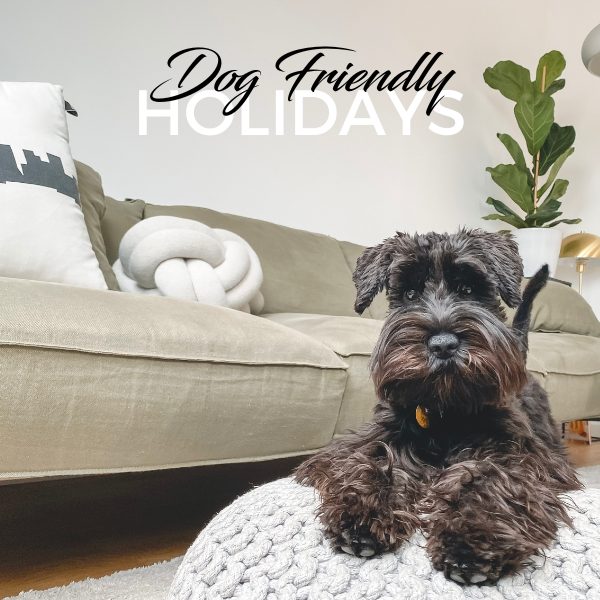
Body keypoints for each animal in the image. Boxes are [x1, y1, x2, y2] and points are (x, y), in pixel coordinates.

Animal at [295, 229, 581, 585]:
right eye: (409, 293)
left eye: (468, 290)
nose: (443, 345)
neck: (447, 408)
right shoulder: (371, 441)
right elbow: (376, 462)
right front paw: (361, 514)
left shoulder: (519, 455)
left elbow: (490, 478)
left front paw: (472, 539)